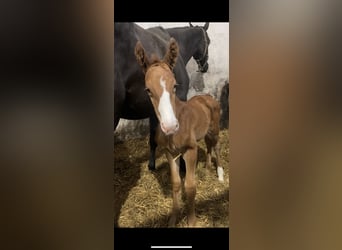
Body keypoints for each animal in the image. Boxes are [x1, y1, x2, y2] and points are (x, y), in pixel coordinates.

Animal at [134, 38, 224, 228]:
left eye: (175, 85)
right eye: (148, 90)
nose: (170, 126)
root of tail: (208, 96)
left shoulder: (190, 150)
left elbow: (190, 186)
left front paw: (191, 221)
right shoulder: (171, 152)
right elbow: (175, 184)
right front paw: (173, 219)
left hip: (214, 129)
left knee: (217, 146)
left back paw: (220, 174)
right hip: (204, 132)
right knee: (209, 146)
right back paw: (207, 167)